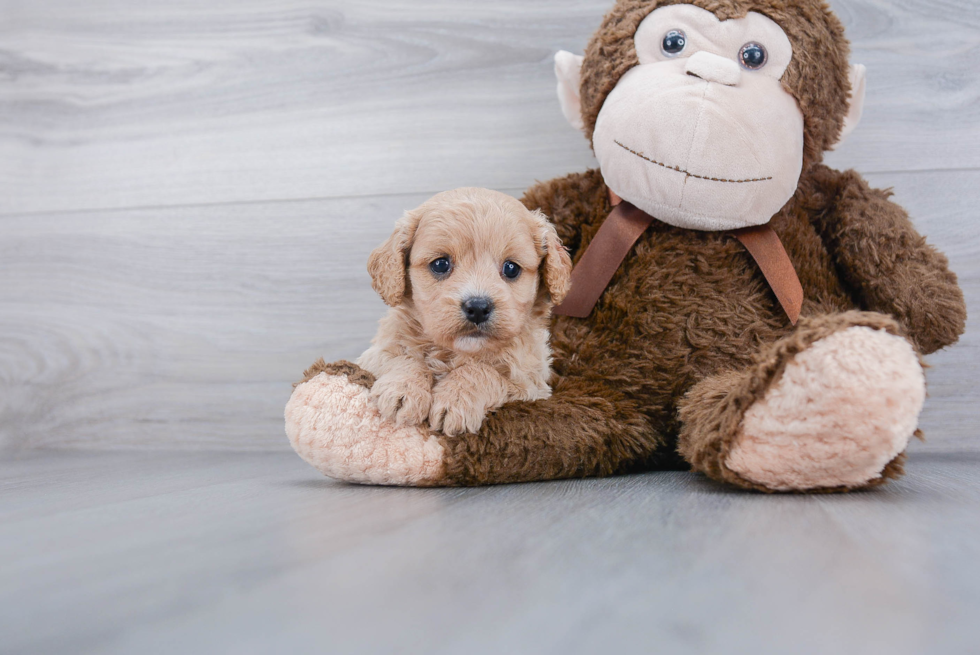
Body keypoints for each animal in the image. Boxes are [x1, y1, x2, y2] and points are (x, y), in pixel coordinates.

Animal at [358, 187, 576, 438]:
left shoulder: (531, 385)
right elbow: (403, 357)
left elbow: (483, 372)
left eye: (511, 268)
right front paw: (403, 390)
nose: (478, 308)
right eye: (440, 264)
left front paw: (456, 400)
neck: (455, 353)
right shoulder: (371, 356)